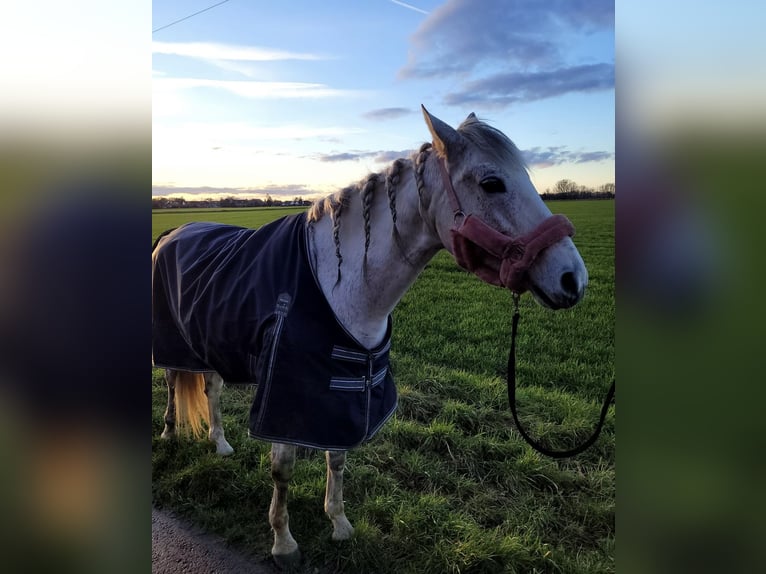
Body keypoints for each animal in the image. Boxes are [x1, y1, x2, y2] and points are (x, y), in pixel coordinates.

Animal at [152, 108, 588, 572]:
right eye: (492, 183)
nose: (573, 279)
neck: (341, 287)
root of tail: (173, 232)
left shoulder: (339, 392)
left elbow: (338, 457)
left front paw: (339, 523)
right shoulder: (284, 395)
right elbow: (282, 468)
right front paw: (283, 542)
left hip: (208, 344)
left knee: (211, 389)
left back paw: (219, 443)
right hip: (173, 345)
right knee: (172, 382)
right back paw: (168, 433)